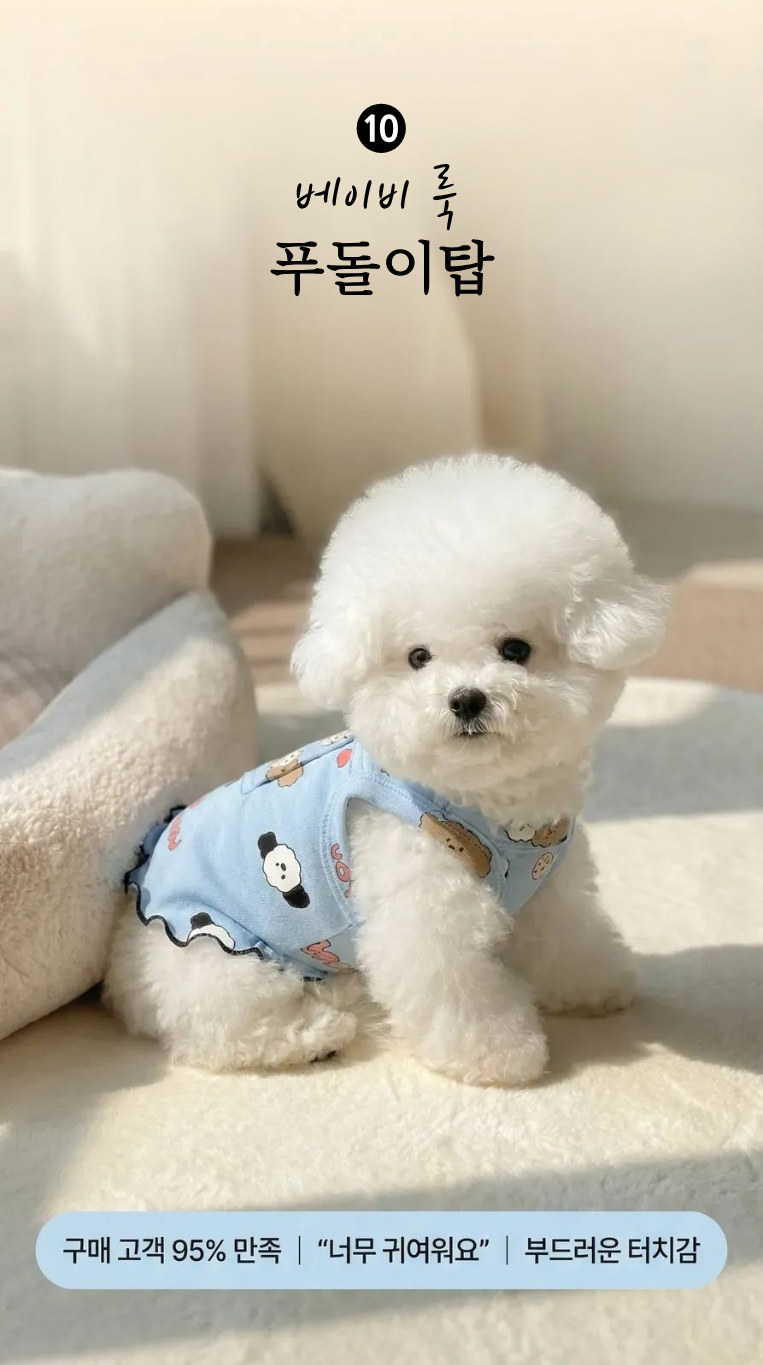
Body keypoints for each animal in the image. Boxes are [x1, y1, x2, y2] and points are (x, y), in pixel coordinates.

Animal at [105, 455, 668, 1084]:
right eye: (418, 657)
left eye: (516, 649)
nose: (466, 699)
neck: (490, 810)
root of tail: (118, 971)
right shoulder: (423, 908)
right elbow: (457, 988)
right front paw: (497, 1053)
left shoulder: (553, 889)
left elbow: (569, 938)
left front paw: (598, 984)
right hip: (220, 955)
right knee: (218, 1030)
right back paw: (315, 1033)